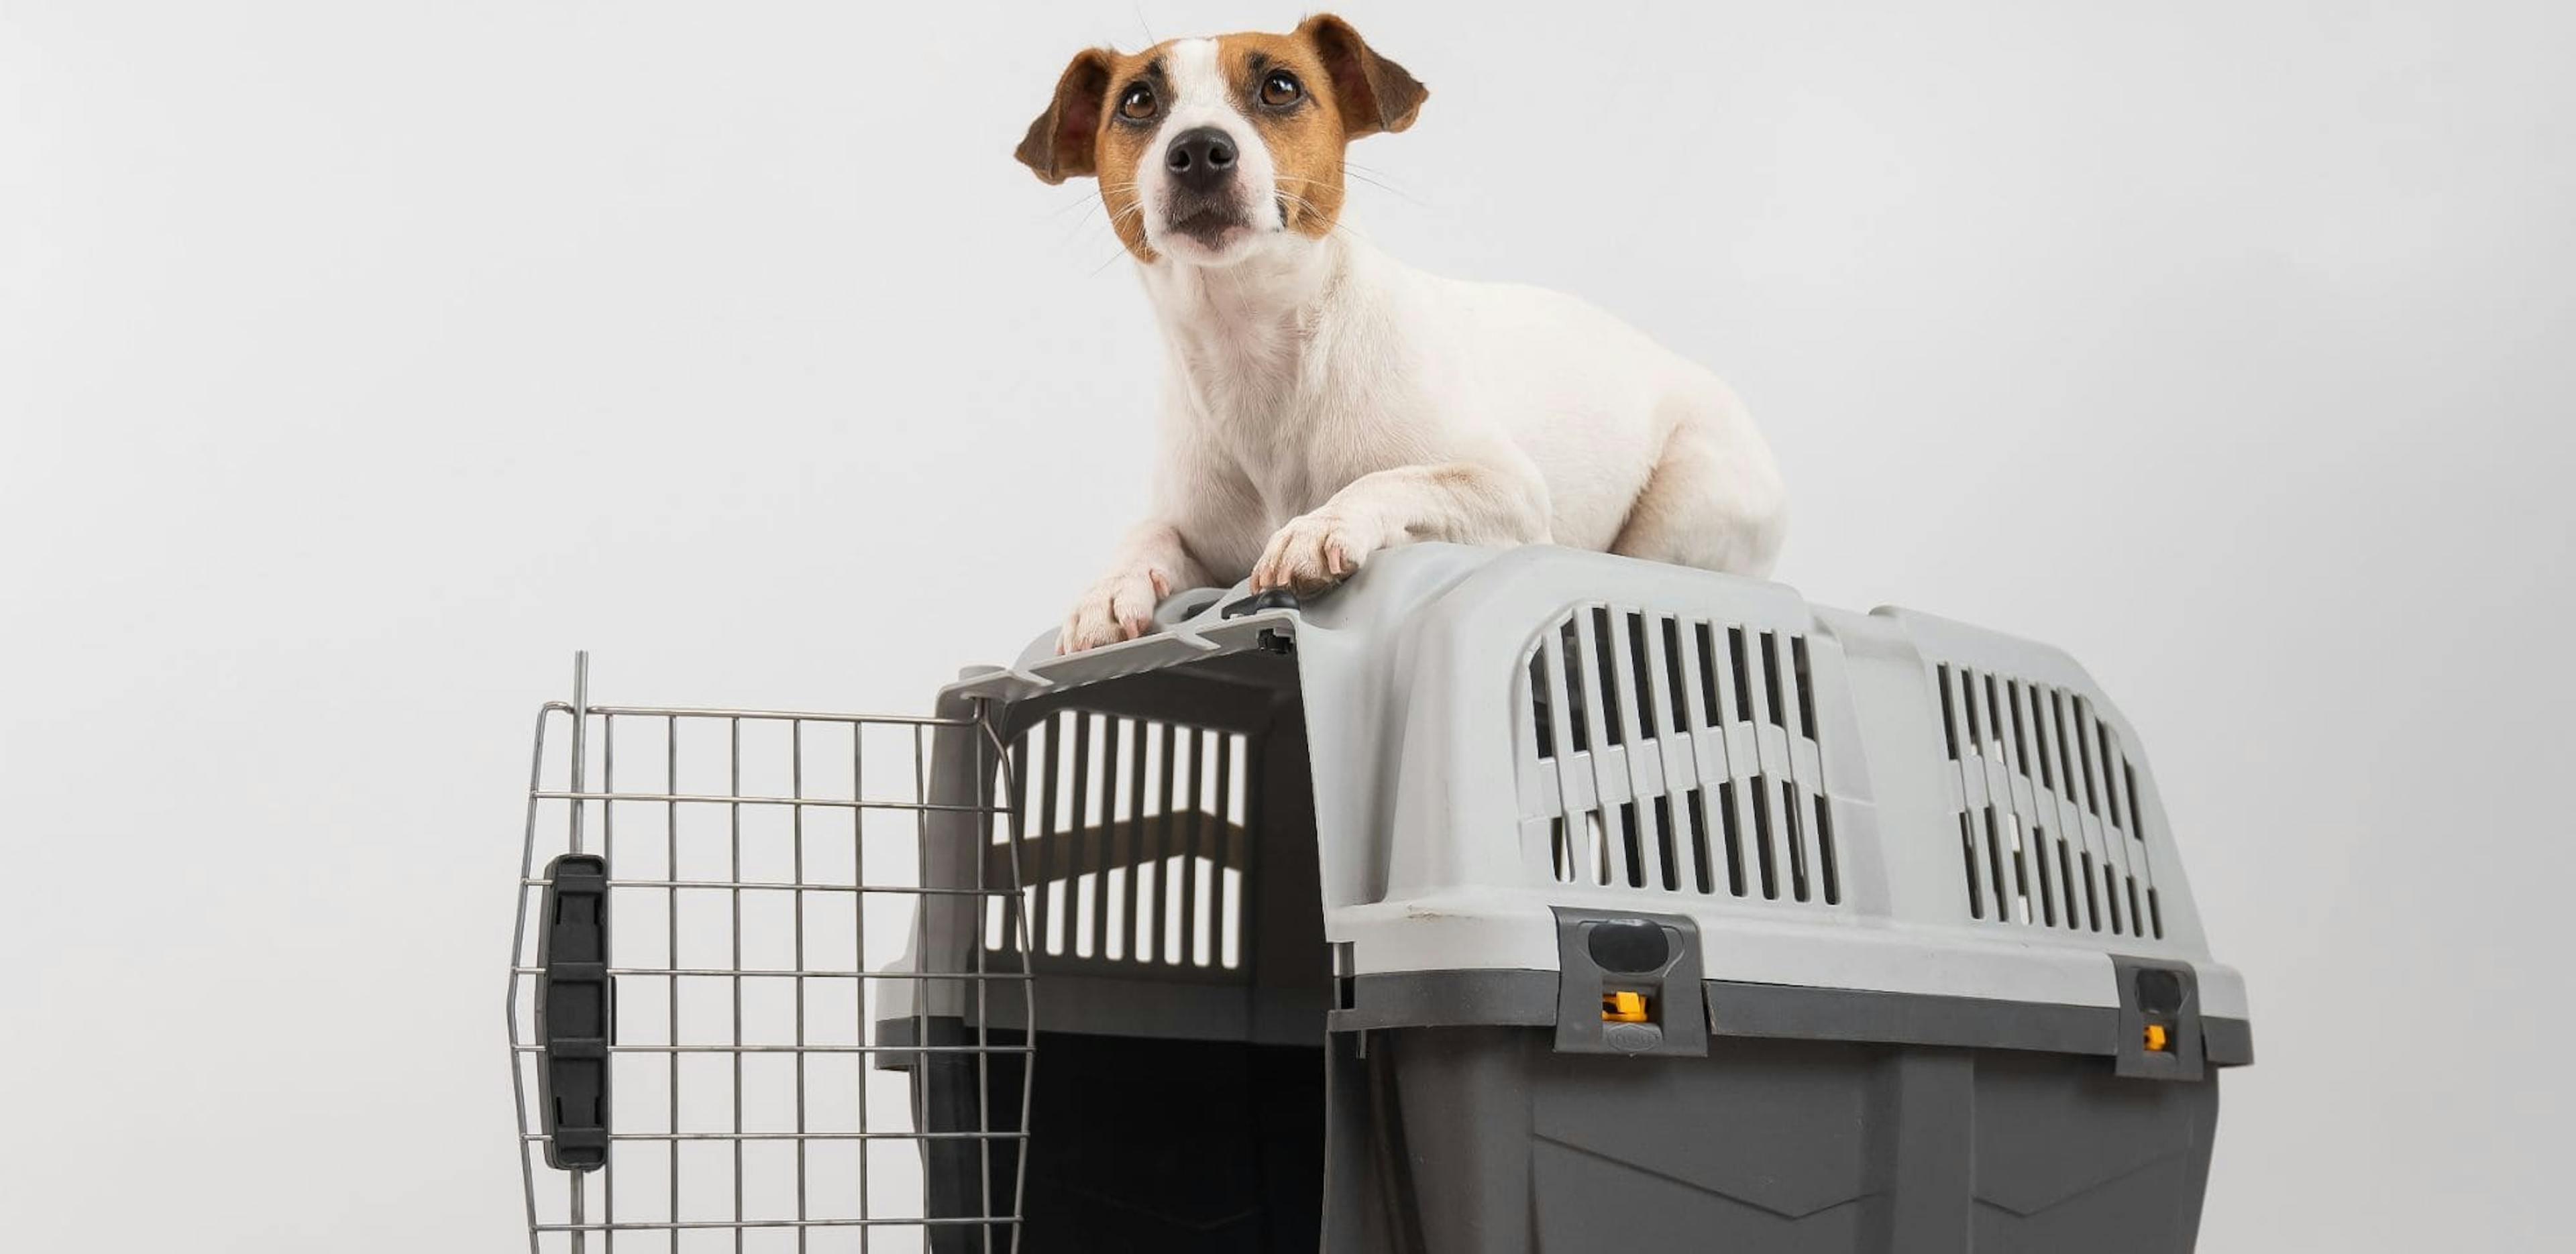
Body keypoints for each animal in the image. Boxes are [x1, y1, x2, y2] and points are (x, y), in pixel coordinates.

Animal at [1014, 14, 1782, 654]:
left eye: (1280, 87)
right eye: (1138, 102)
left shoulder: (1505, 490)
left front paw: (1319, 525)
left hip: (1687, 500)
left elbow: (1395, 478)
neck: (1254, 345)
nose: (1200, 148)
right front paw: (1108, 588)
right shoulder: (1199, 534)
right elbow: (1148, 531)